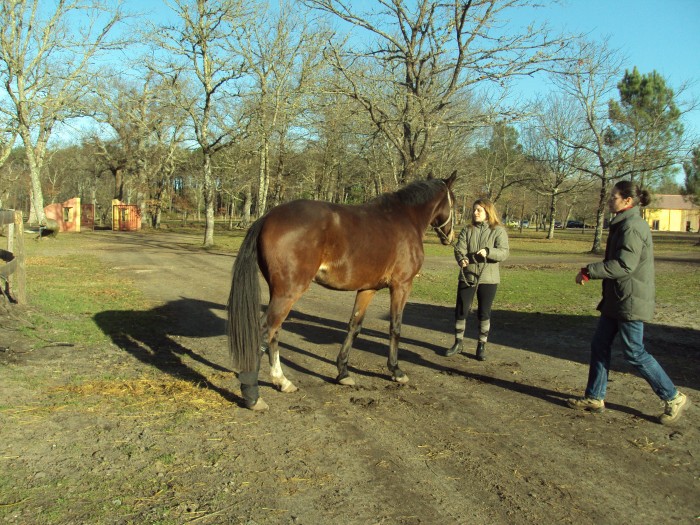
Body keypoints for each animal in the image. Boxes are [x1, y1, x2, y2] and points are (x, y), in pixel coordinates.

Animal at [228, 170, 460, 408]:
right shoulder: (402, 285)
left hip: (280, 293)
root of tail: (268, 217)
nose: (451, 237)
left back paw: (282, 381)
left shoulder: (368, 289)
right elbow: (395, 327)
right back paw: (252, 395)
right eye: (455, 201)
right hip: (288, 293)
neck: (406, 217)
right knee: (264, 330)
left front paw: (343, 372)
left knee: (274, 332)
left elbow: (354, 327)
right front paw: (396, 370)